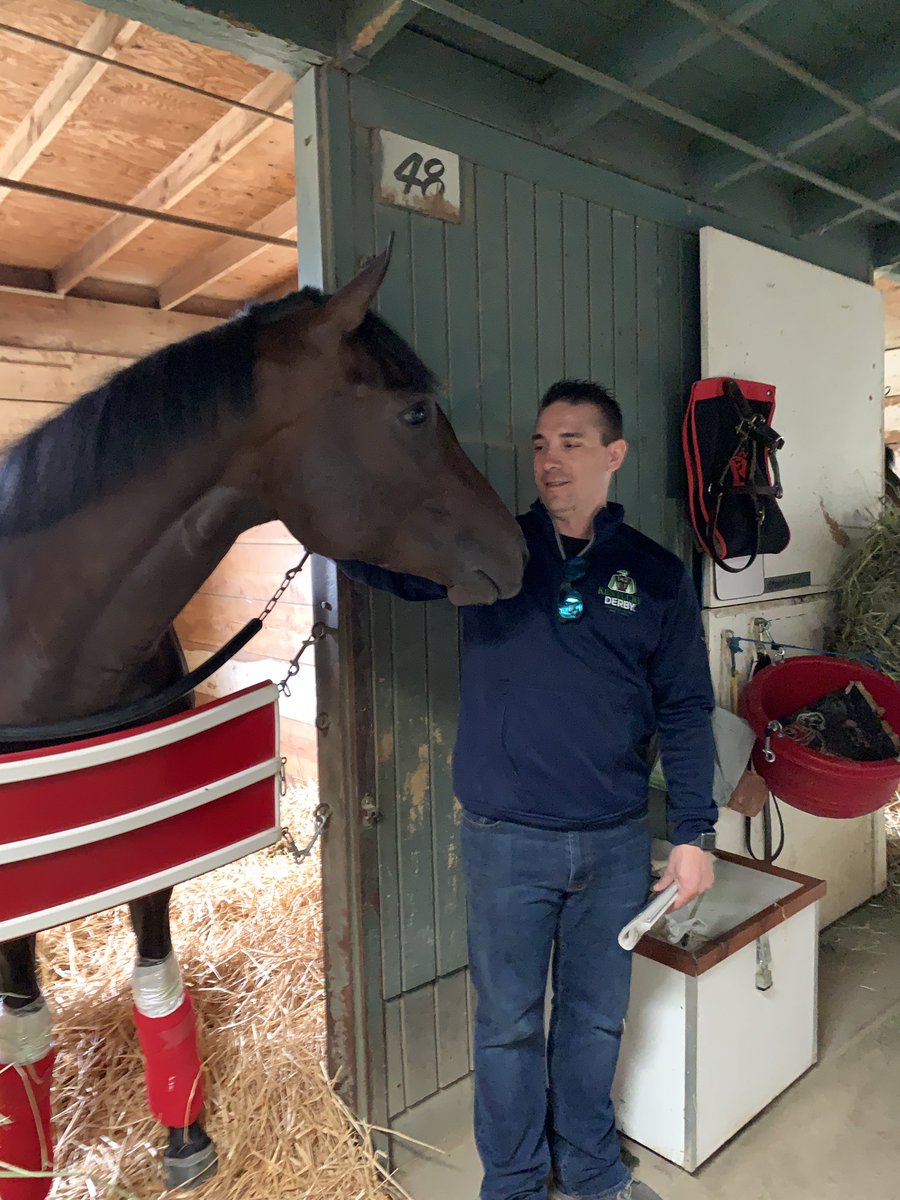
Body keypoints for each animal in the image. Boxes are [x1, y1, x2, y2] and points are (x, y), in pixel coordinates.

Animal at [0, 243, 525, 1197]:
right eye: (415, 410)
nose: (519, 549)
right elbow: (22, 1037)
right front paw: (26, 1167)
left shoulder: (149, 849)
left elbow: (157, 987)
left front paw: (185, 1138)